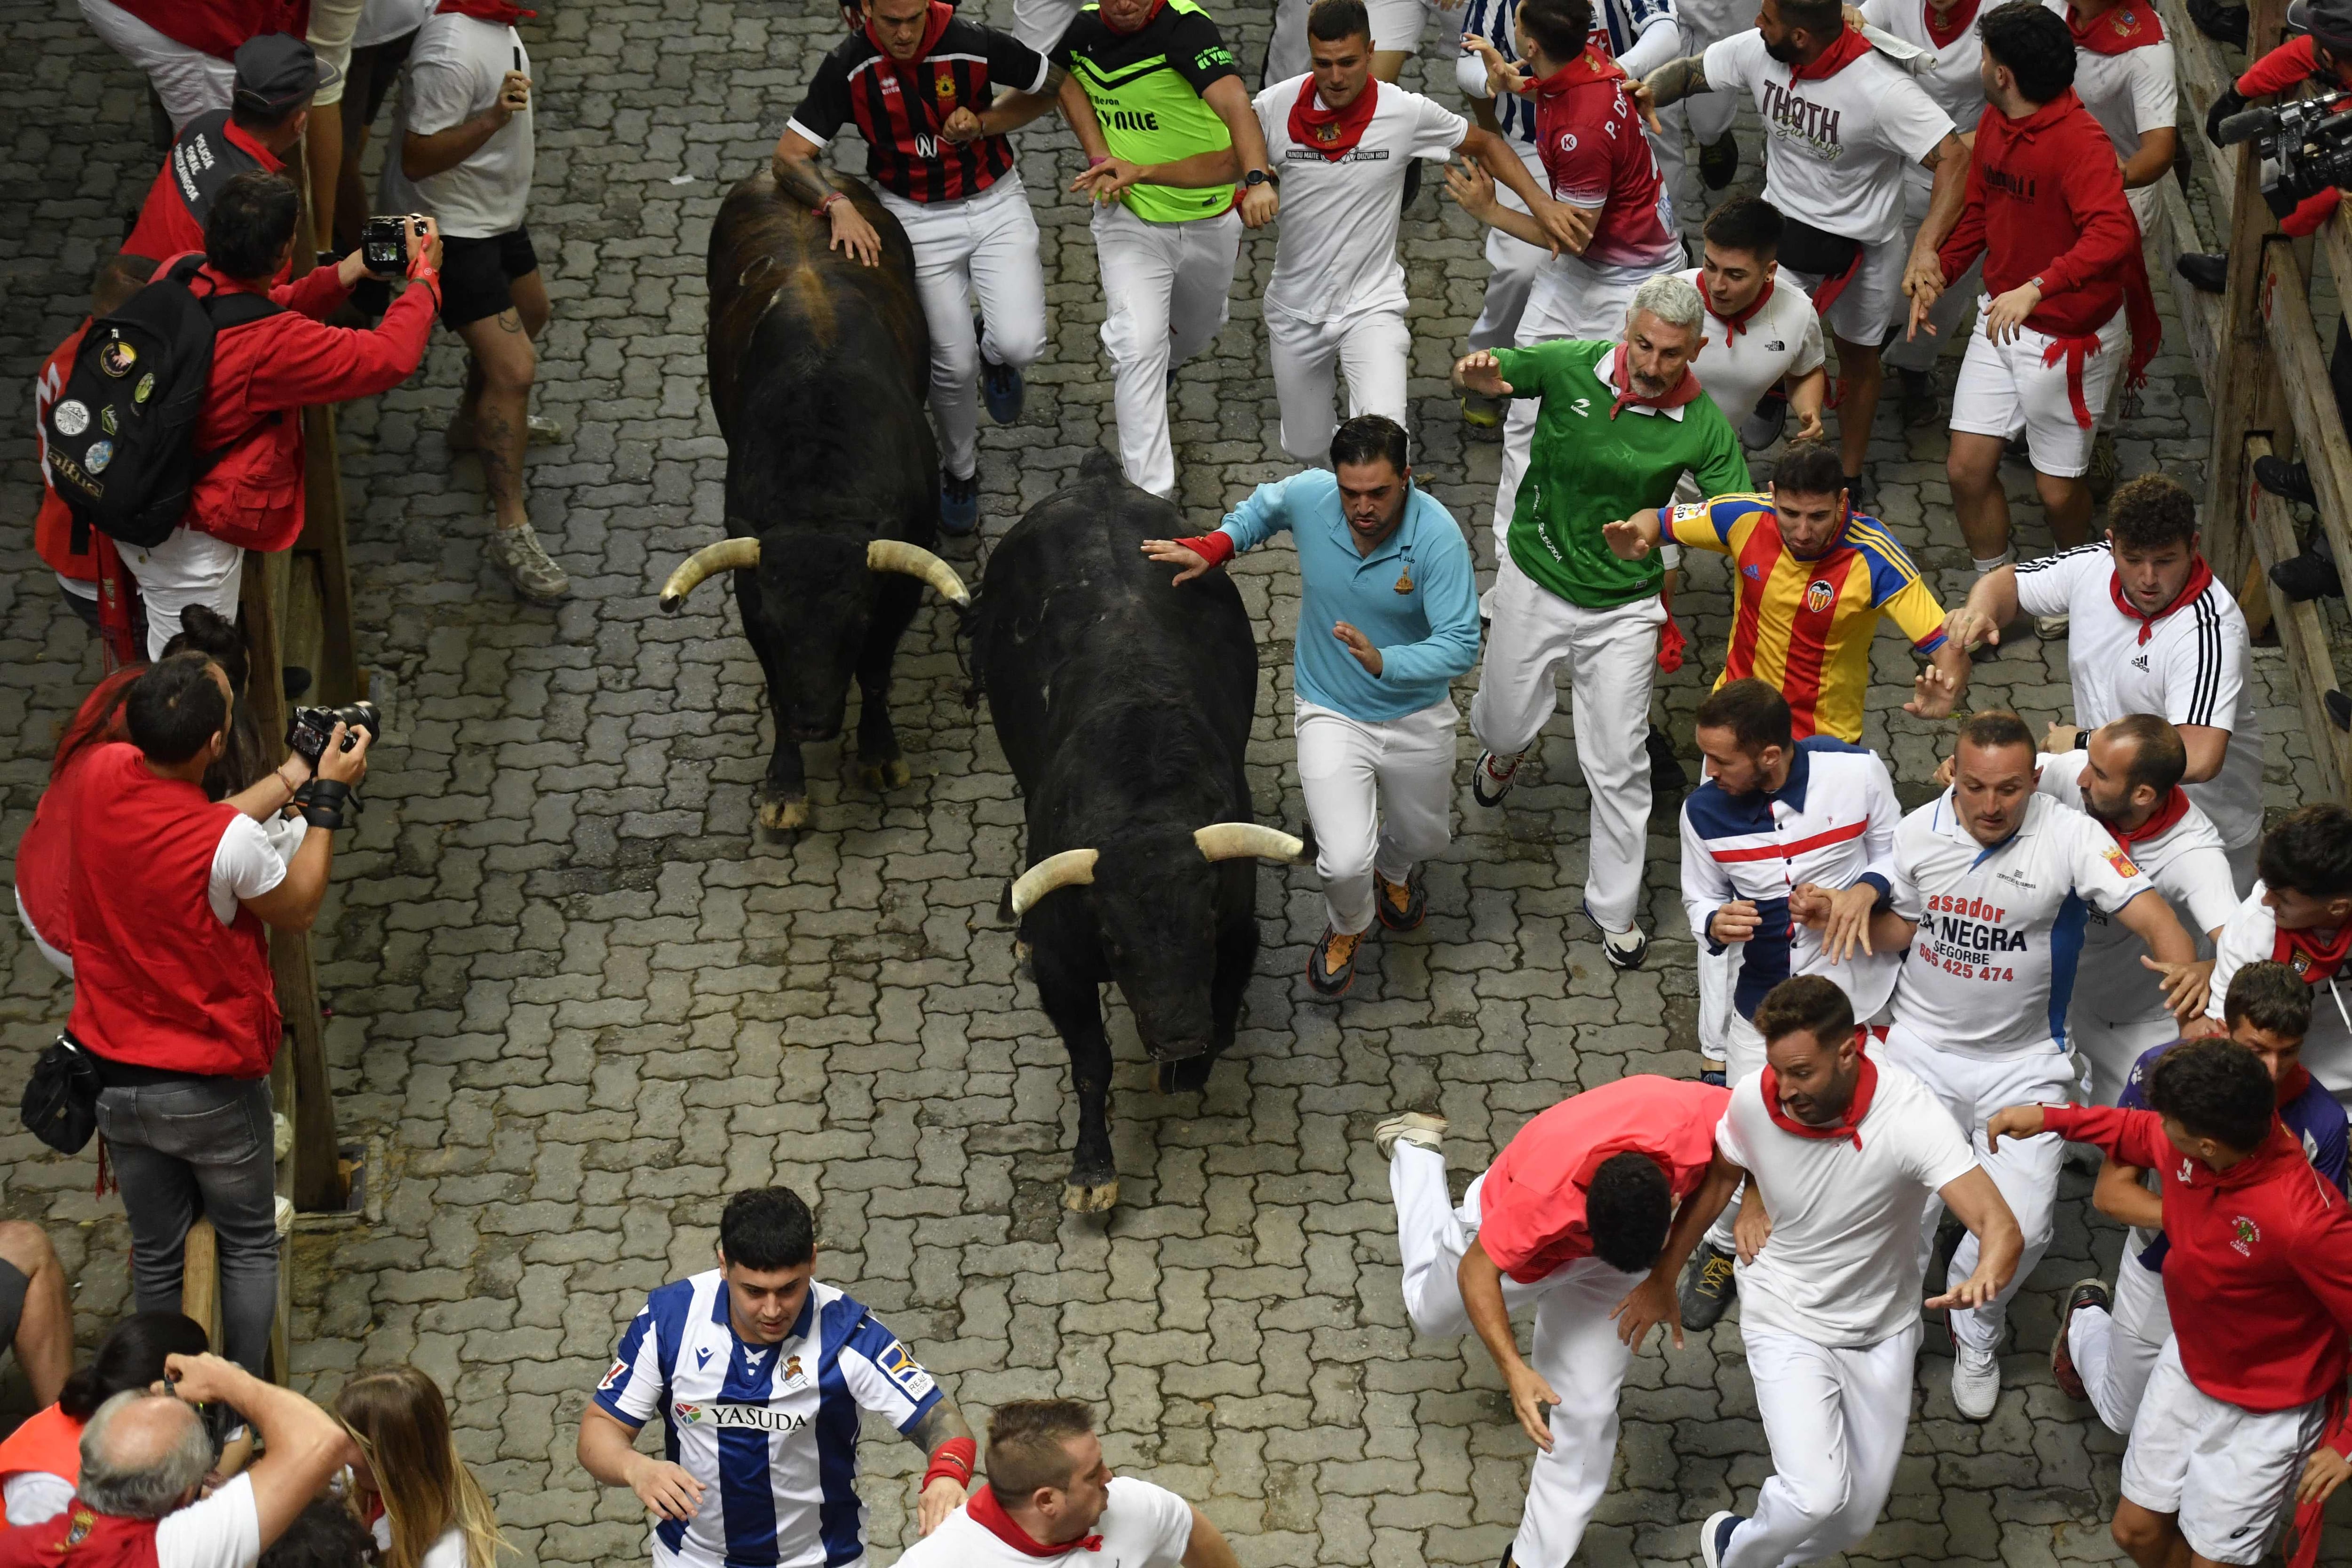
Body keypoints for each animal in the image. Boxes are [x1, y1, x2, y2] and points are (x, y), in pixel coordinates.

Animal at [974, 454, 1308, 1213]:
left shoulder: (1239, 931)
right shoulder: (1062, 967)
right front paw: (1091, 1170)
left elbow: (1222, 1009)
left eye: (1204, 927)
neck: (1144, 799)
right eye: (1116, 945)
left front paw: (1188, 1068)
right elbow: (1090, 1061)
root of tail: (1100, 478)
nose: (1178, 1040)